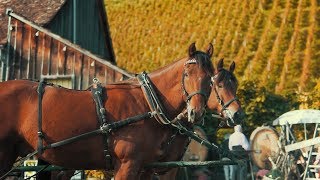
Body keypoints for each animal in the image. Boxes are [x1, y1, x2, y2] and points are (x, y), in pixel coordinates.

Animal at [0, 43, 215, 179]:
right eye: (187, 74)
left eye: (211, 77)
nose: (196, 112)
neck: (147, 102)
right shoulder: (128, 165)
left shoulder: (146, 168)